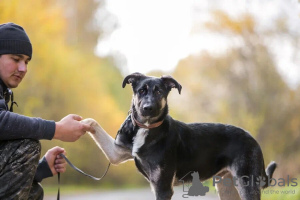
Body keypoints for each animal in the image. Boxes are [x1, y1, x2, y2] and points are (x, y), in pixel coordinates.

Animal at [81, 72, 276, 200]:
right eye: (141, 91)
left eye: (159, 92)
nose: (148, 108)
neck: (146, 127)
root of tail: (252, 139)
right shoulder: (116, 153)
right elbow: (93, 122)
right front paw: (79, 123)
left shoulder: (163, 187)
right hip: (226, 185)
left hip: (246, 183)